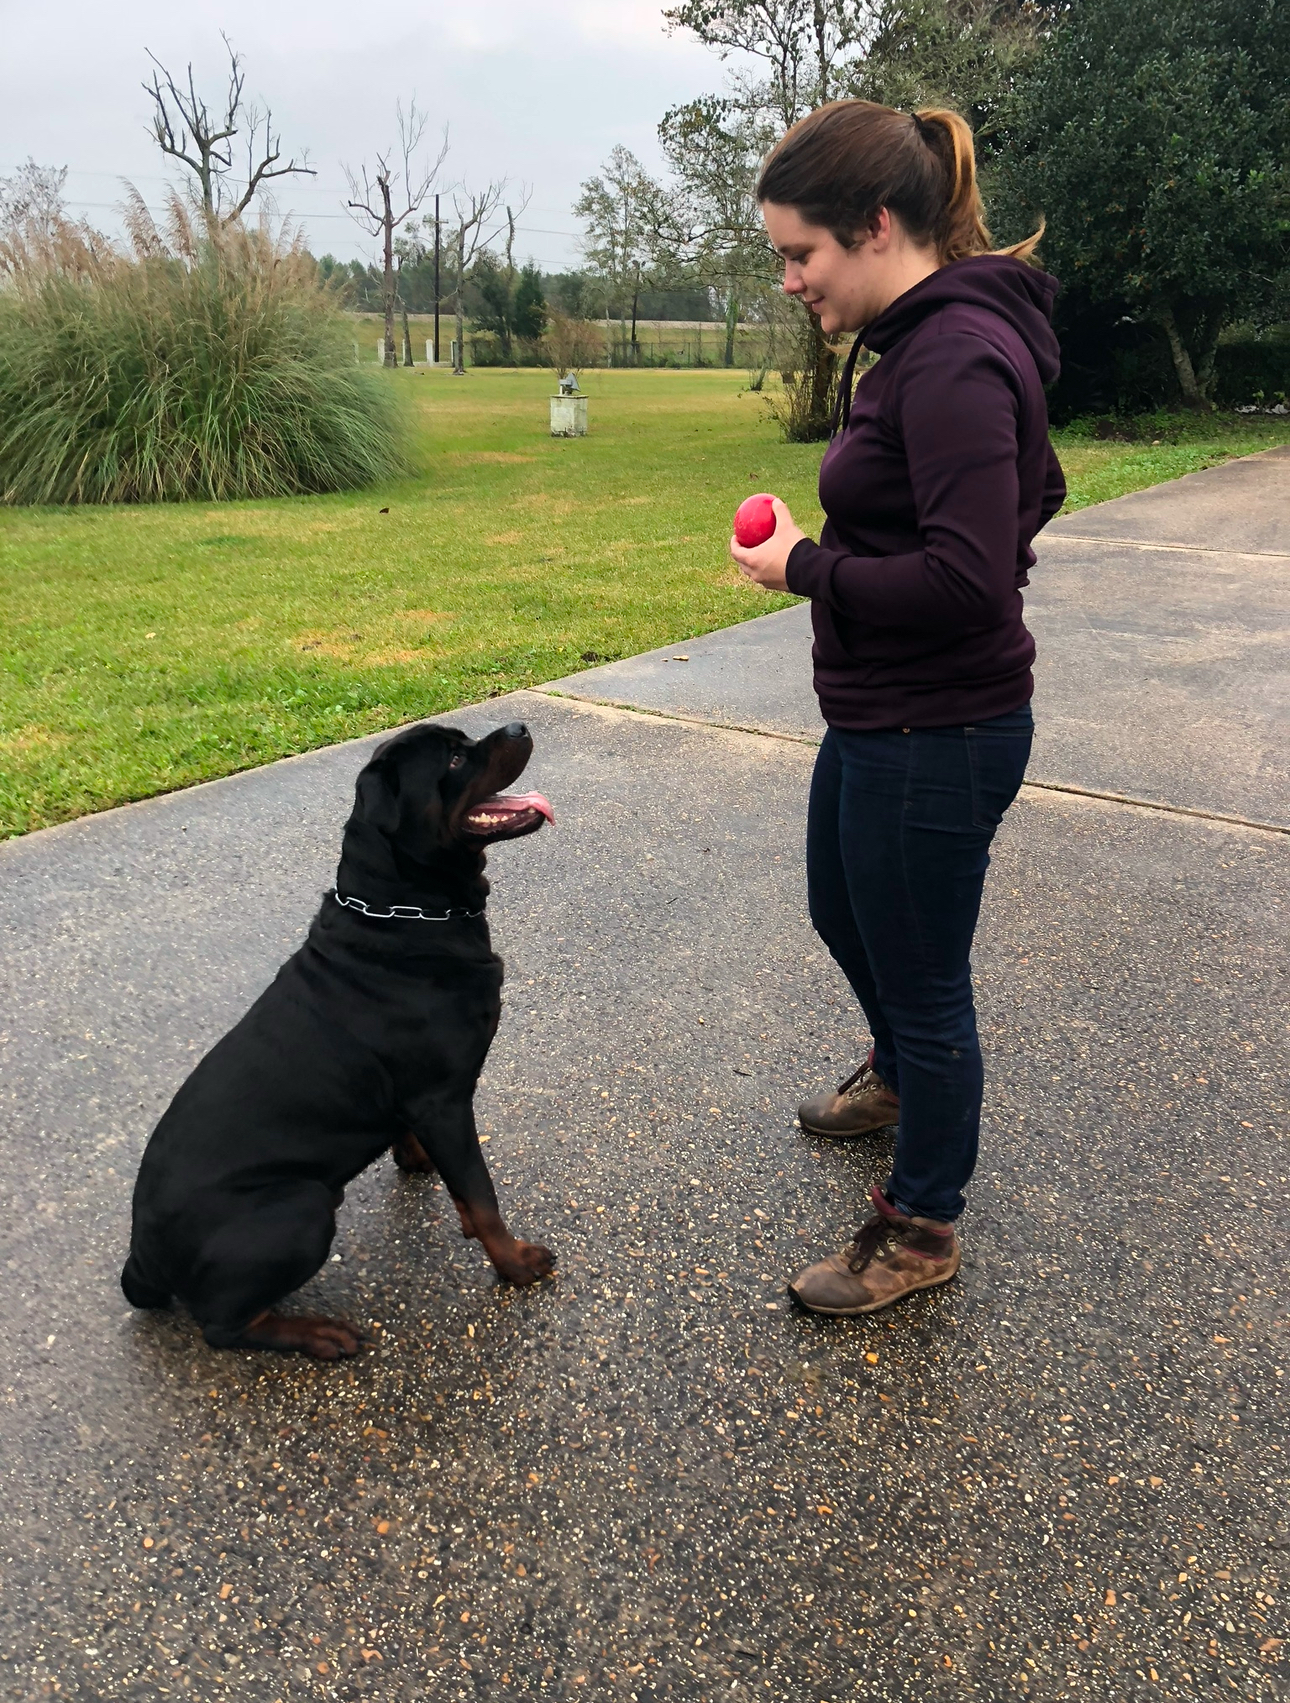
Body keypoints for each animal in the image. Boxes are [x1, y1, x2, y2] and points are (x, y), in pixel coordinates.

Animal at [121, 718, 558, 1355]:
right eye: (455, 759)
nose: (519, 725)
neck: (403, 914)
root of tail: (141, 1257)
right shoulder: (445, 1100)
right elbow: (482, 1197)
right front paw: (515, 1264)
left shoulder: (422, 1102)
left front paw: (416, 1160)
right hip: (302, 1208)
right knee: (222, 1327)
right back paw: (319, 1334)